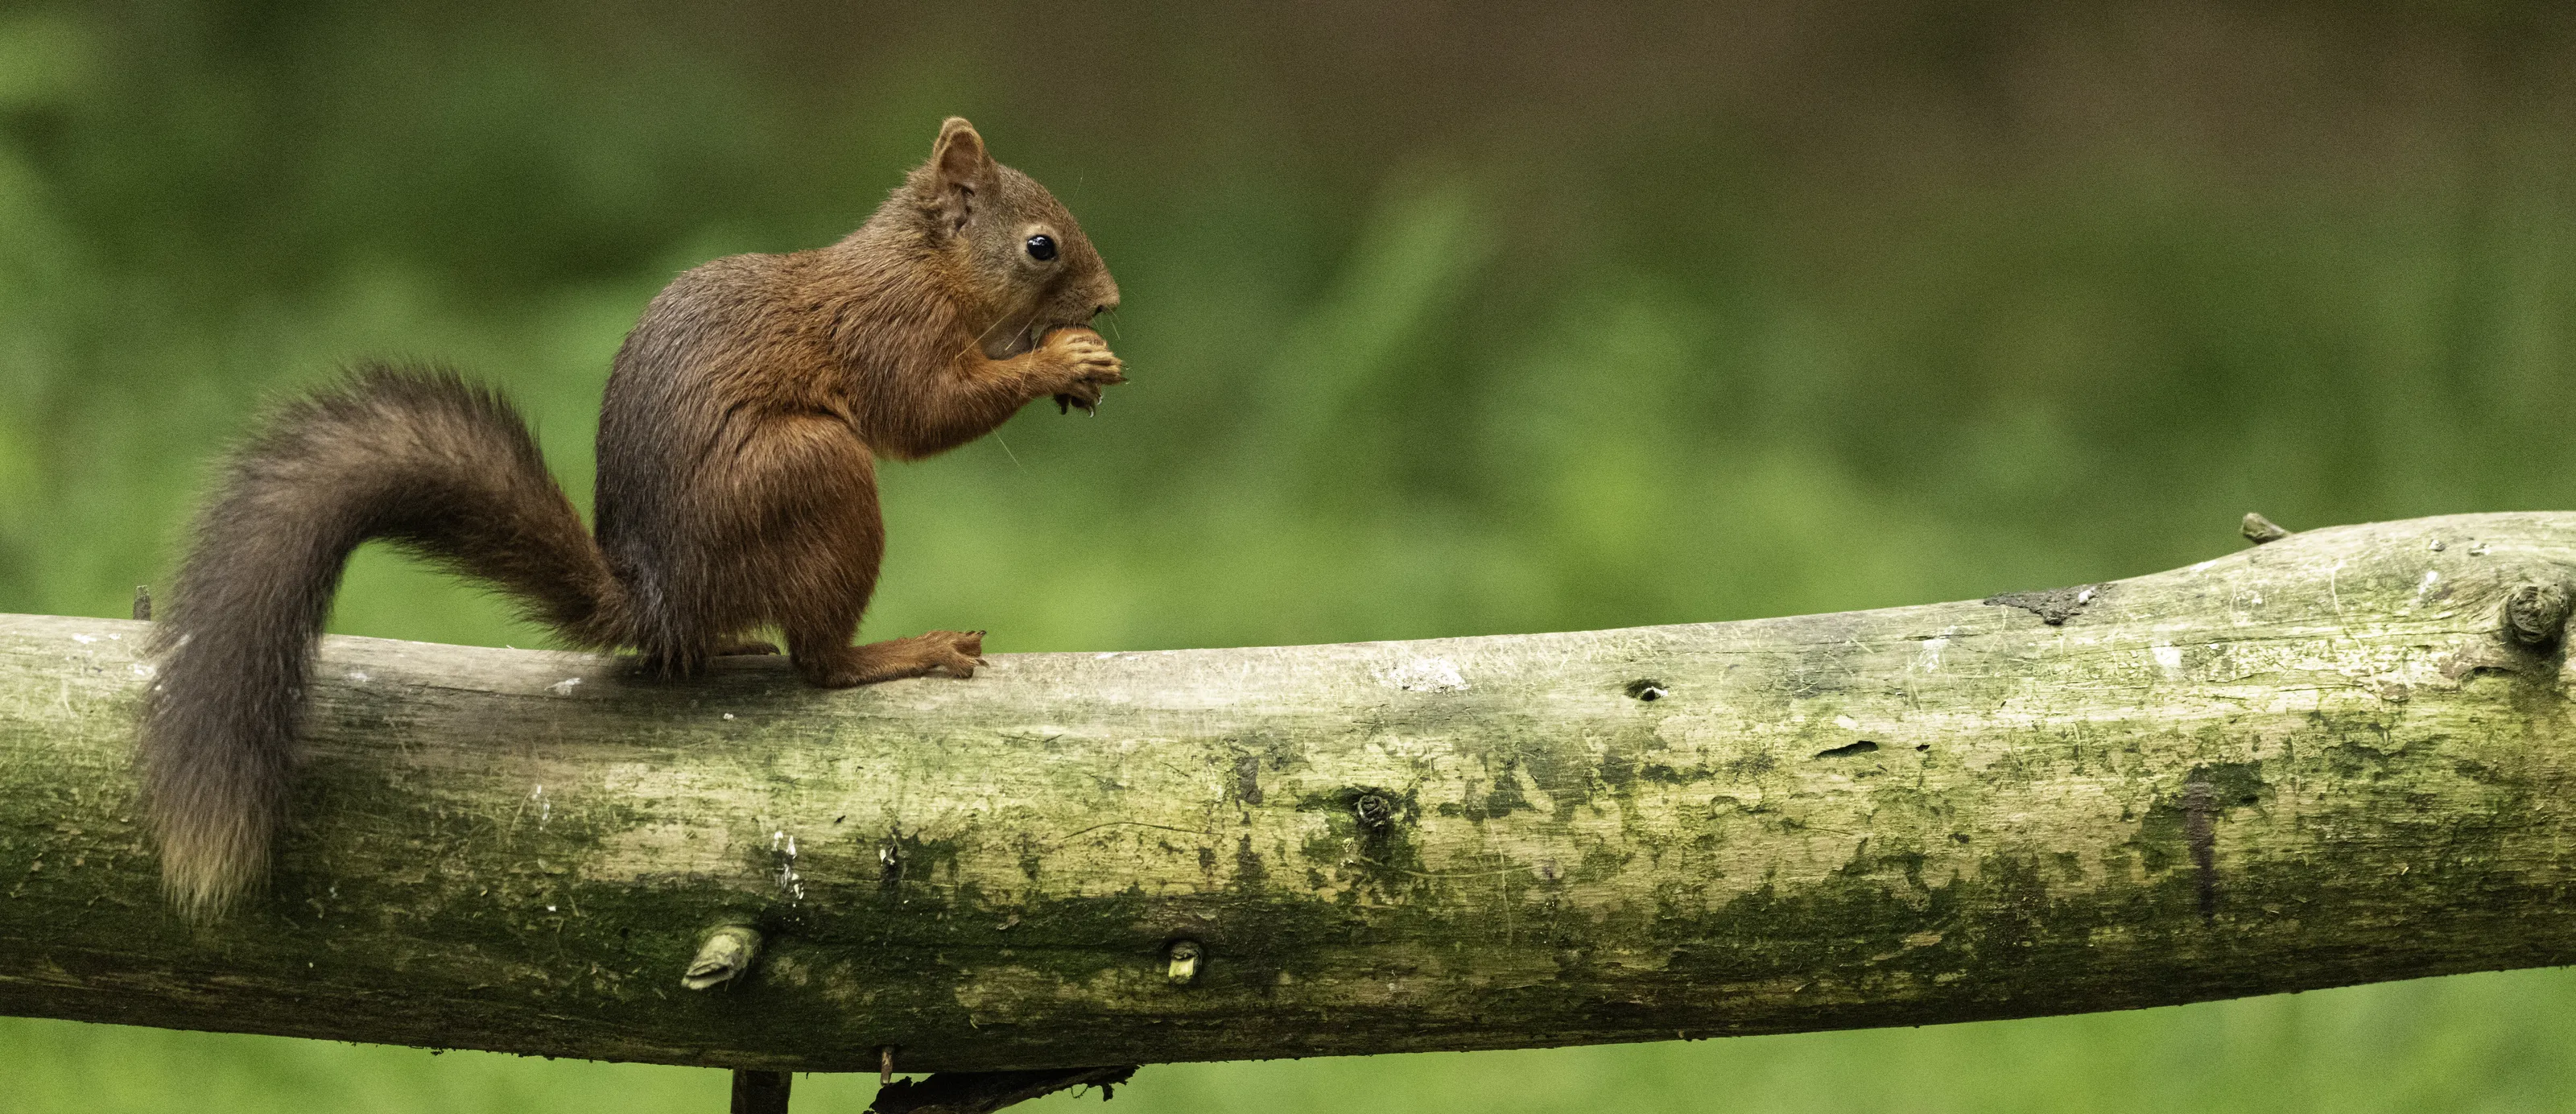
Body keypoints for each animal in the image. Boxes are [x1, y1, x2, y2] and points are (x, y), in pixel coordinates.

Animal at [137, 117, 1126, 920]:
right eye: (1040, 247)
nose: (1109, 301)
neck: (922, 263)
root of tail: (659, 596)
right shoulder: (892, 332)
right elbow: (924, 414)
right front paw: (1061, 361)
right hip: (816, 475)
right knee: (819, 664)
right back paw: (901, 651)